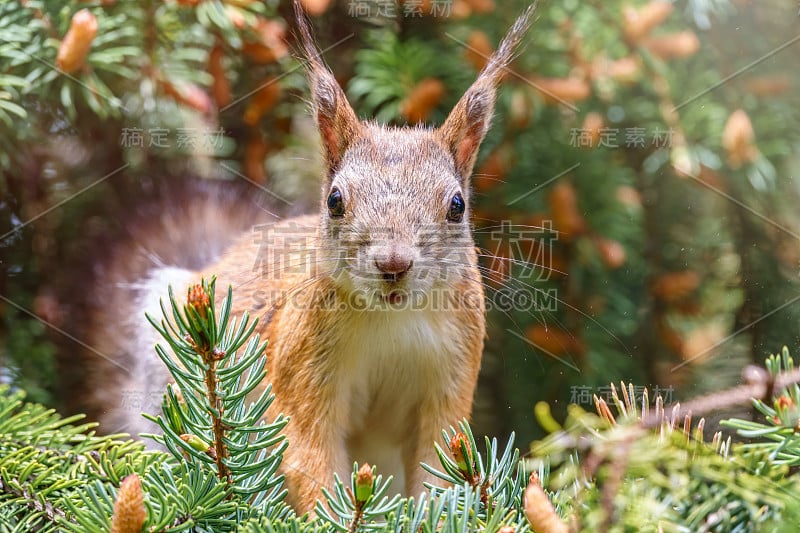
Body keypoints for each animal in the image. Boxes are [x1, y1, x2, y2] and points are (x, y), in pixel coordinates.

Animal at [78, 2, 536, 512]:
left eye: (457, 206)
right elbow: (310, 455)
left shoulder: (452, 371)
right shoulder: (303, 361)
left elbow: (443, 465)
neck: (391, 321)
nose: (393, 265)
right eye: (334, 200)